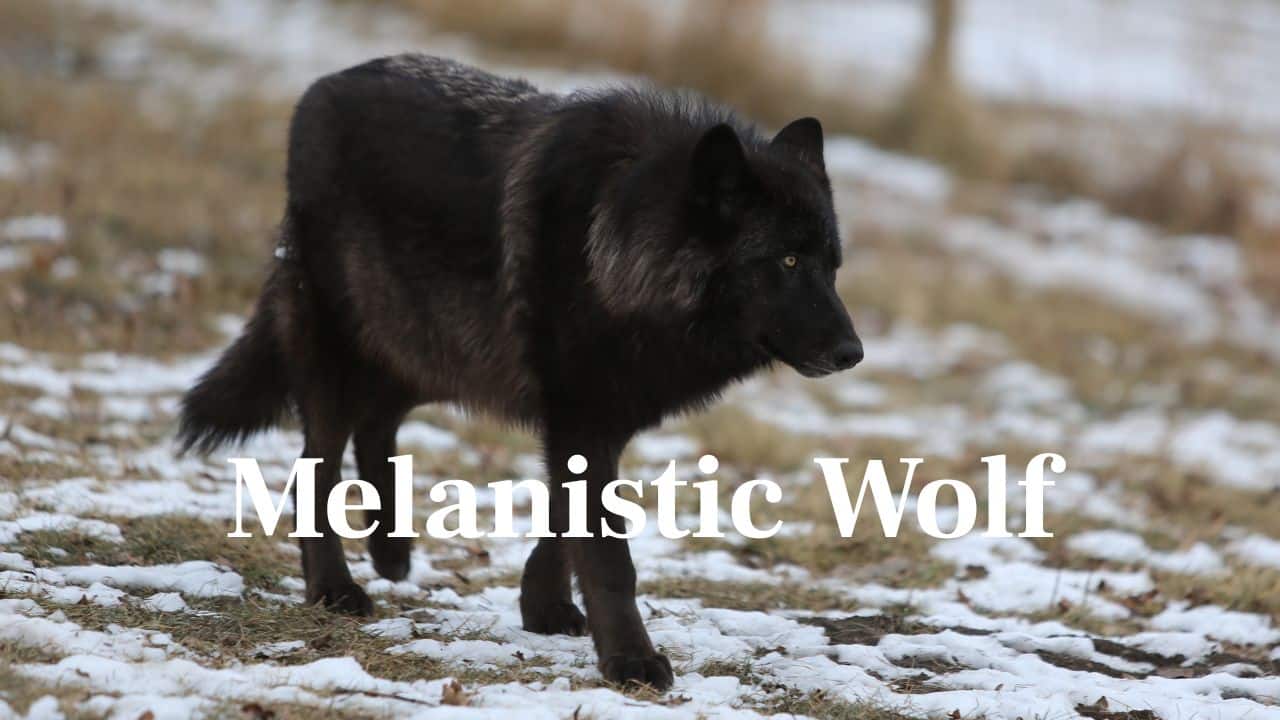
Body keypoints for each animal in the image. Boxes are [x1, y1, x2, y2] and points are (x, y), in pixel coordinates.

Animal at [179, 54, 862, 689]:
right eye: (788, 260)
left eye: (832, 266)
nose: (853, 353)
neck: (616, 247)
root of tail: (323, 85)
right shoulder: (581, 415)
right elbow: (608, 556)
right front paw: (630, 661)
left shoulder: (593, 418)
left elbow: (564, 524)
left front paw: (544, 607)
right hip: (353, 350)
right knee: (314, 470)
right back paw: (335, 590)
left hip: (431, 346)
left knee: (376, 426)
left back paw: (391, 552)